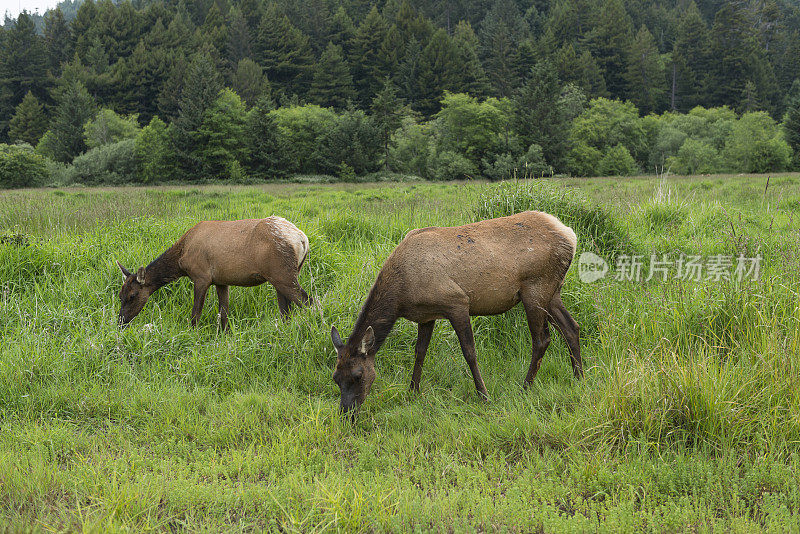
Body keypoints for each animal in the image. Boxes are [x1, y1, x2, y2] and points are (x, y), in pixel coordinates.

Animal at [117, 218, 310, 330]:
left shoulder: (201, 276)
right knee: (286, 311)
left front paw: (192, 336)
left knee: (308, 302)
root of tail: (302, 239)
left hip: (282, 274)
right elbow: (223, 314)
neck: (181, 260)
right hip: (281, 276)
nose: (121, 321)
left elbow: (196, 313)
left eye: (133, 295)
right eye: (120, 295)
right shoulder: (221, 280)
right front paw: (224, 336)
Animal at [328, 211, 584, 416]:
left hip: (535, 288)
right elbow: (419, 352)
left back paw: (525, 386)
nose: (346, 414)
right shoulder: (426, 315)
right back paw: (579, 377)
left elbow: (469, 352)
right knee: (572, 327)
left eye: (358, 375)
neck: (401, 295)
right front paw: (413, 390)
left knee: (542, 339)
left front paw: (484, 395)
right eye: (335, 377)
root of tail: (570, 235)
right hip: (552, 292)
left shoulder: (456, 302)